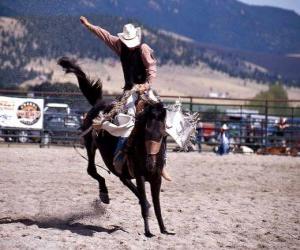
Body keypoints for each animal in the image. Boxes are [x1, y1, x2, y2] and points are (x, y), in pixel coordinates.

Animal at [57, 57, 173, 237]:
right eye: (145, 131)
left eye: (163, 135)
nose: (150, 164)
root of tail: (98, 103)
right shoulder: (140, 175)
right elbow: (146, 201)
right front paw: (148, 232)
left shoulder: (156, 177)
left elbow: (157, 205)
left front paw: (164, 229)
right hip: (91, 146)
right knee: (92, 170)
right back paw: (104, 194)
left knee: (125, 181)